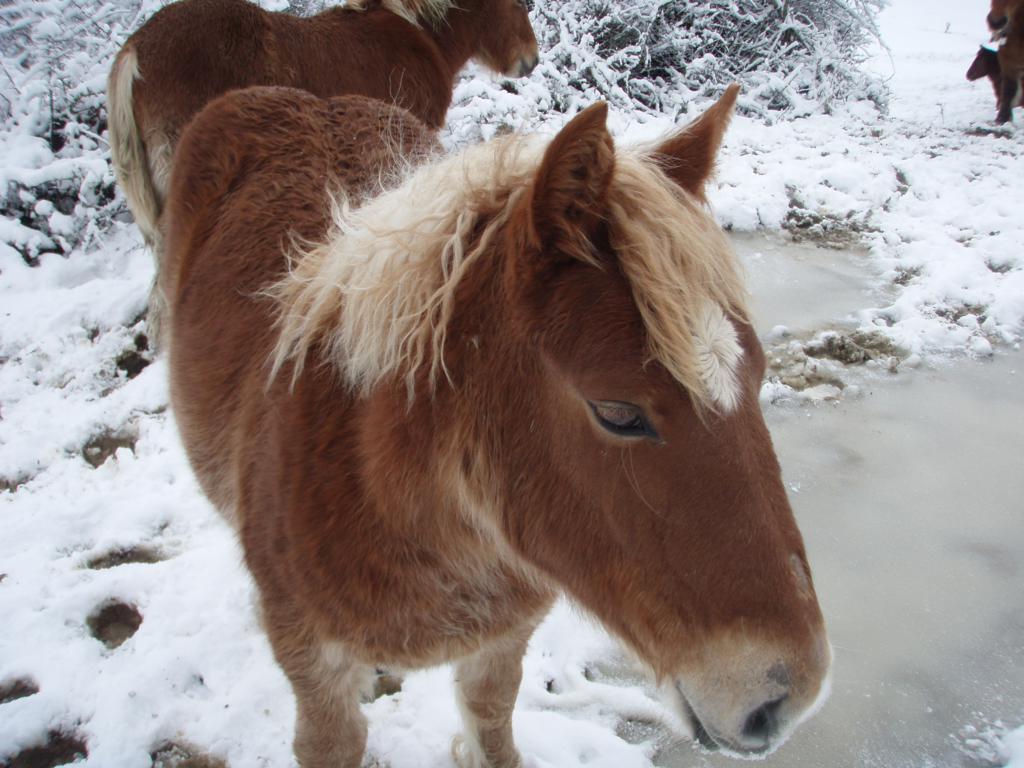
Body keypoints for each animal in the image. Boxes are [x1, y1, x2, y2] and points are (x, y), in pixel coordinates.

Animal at [161, 85, 831, 768]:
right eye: (617, 413)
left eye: (758, 373)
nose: (790, 696)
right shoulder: (317, 679)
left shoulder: (503, 645)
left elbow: (491, 729)